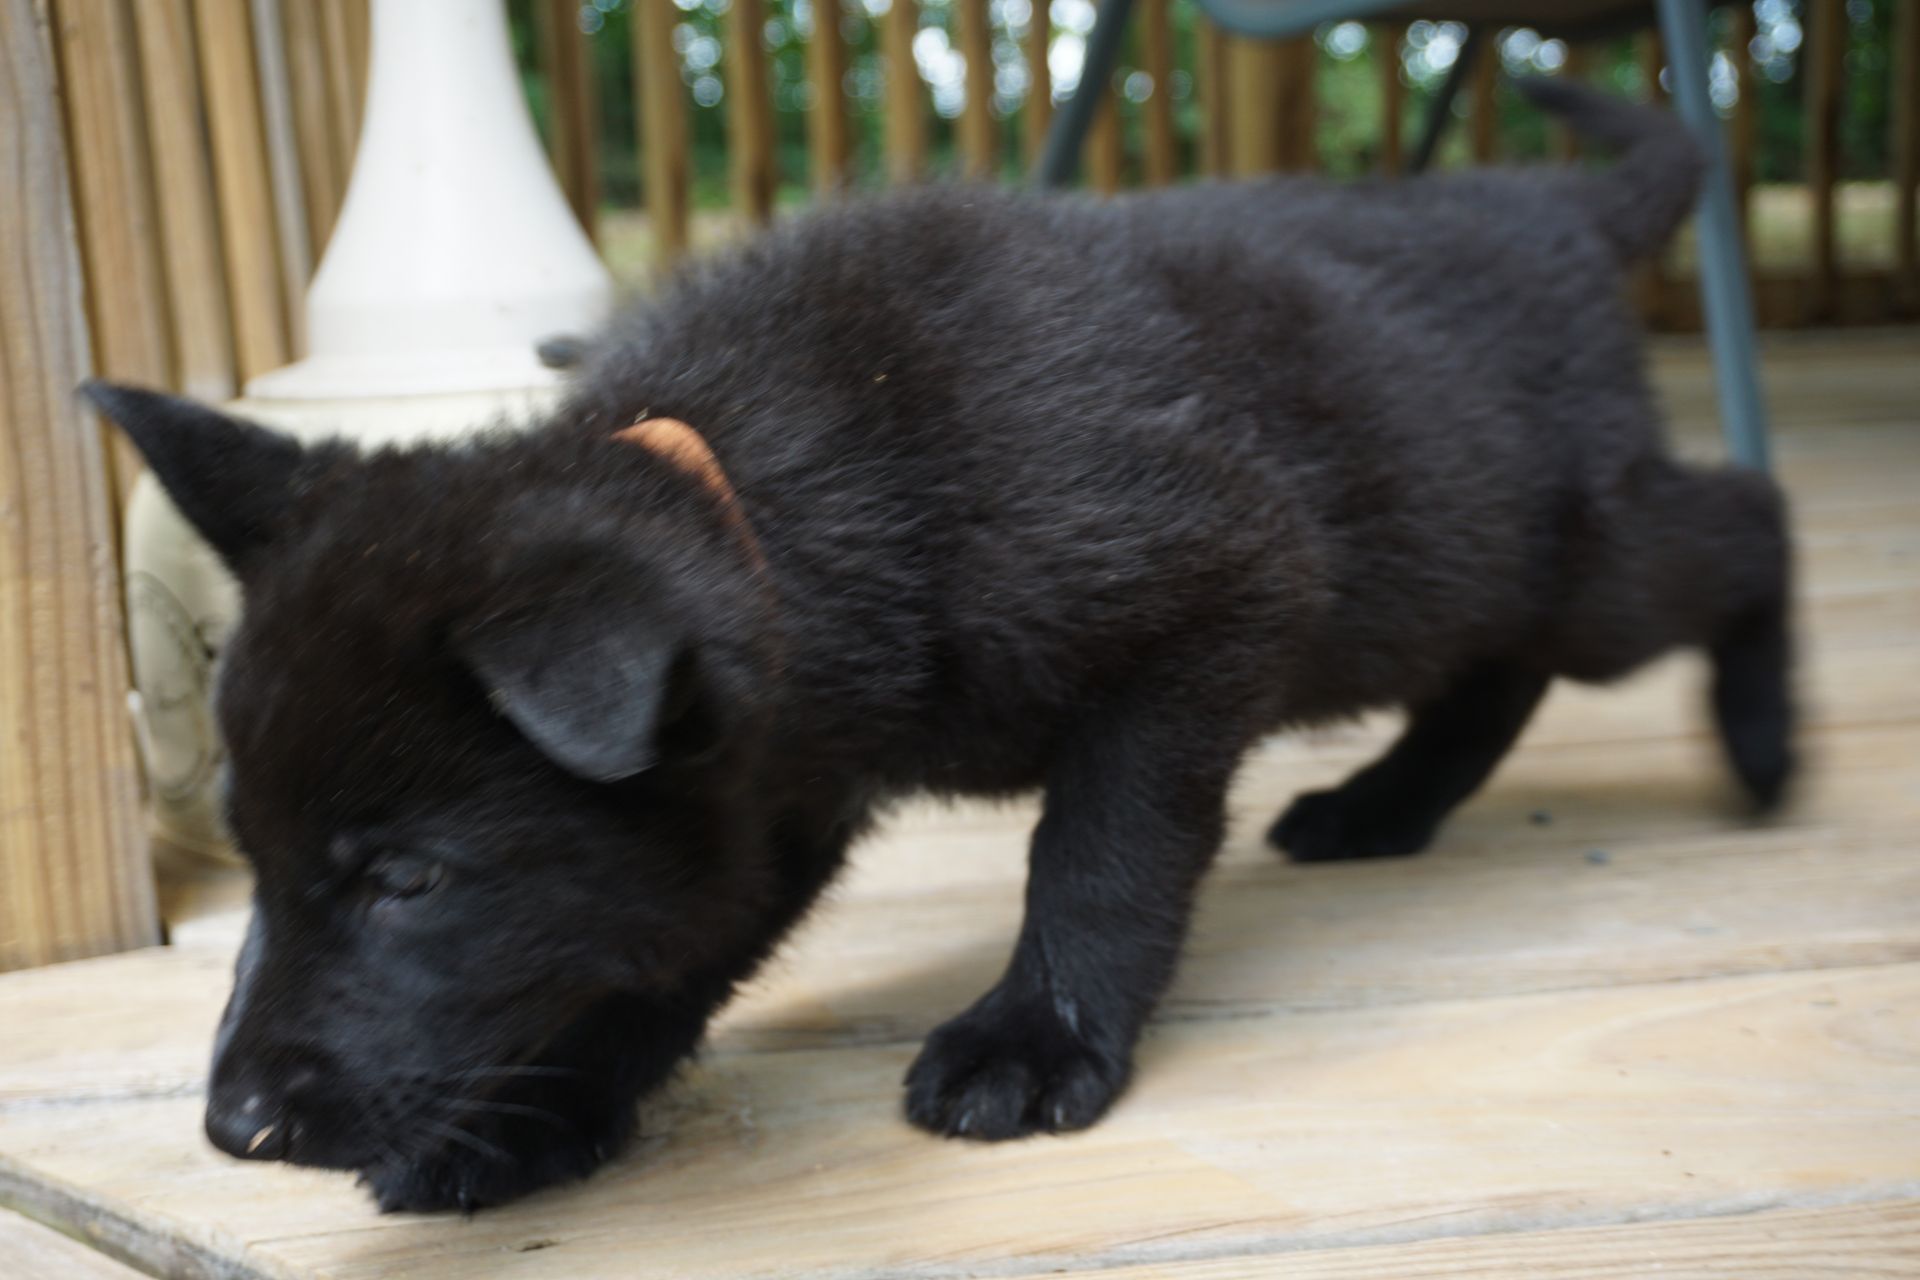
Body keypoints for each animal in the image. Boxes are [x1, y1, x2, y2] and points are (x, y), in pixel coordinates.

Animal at [90, 80, 1789, 1212]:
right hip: (1469, 567)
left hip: (1560, 552)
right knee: (1497, 669)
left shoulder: (1213, 607)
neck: (805, 479)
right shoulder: (768, 783)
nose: (235, 1130)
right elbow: (667, 943)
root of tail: (1551, 203)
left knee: (1738, 522)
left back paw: (1767, 747)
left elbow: (1097, 856)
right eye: (257, 860)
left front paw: (1036, 1035)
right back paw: (1390, 804)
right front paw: (536, 1115)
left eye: (409, 881)